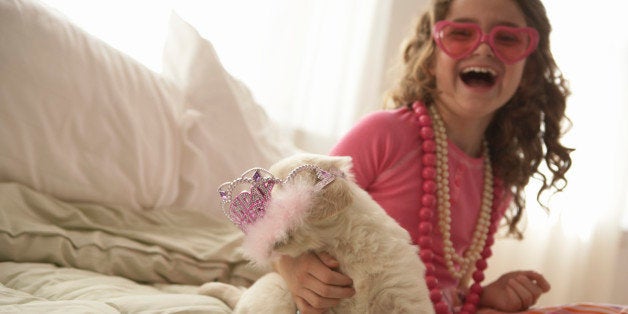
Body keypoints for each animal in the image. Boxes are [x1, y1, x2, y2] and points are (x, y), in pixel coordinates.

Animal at [204, 153, 434, 312]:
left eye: (277, 187)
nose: (255, 220)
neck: (342, 245)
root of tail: (242, 296)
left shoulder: (403, 293)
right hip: (277, 291)